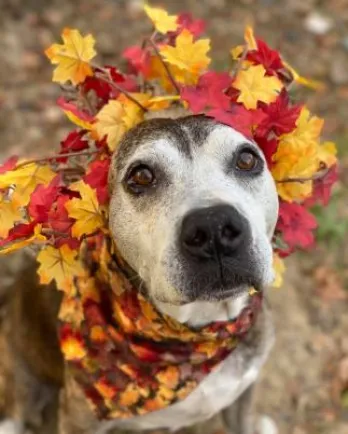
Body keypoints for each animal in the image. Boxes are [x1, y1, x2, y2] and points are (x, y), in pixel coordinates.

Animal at [0, 111, 278, 434]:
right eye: (142, 176)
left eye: (247, 159)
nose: (214, 228)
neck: (199, 330)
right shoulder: (78, 419)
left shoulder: (243, 389)